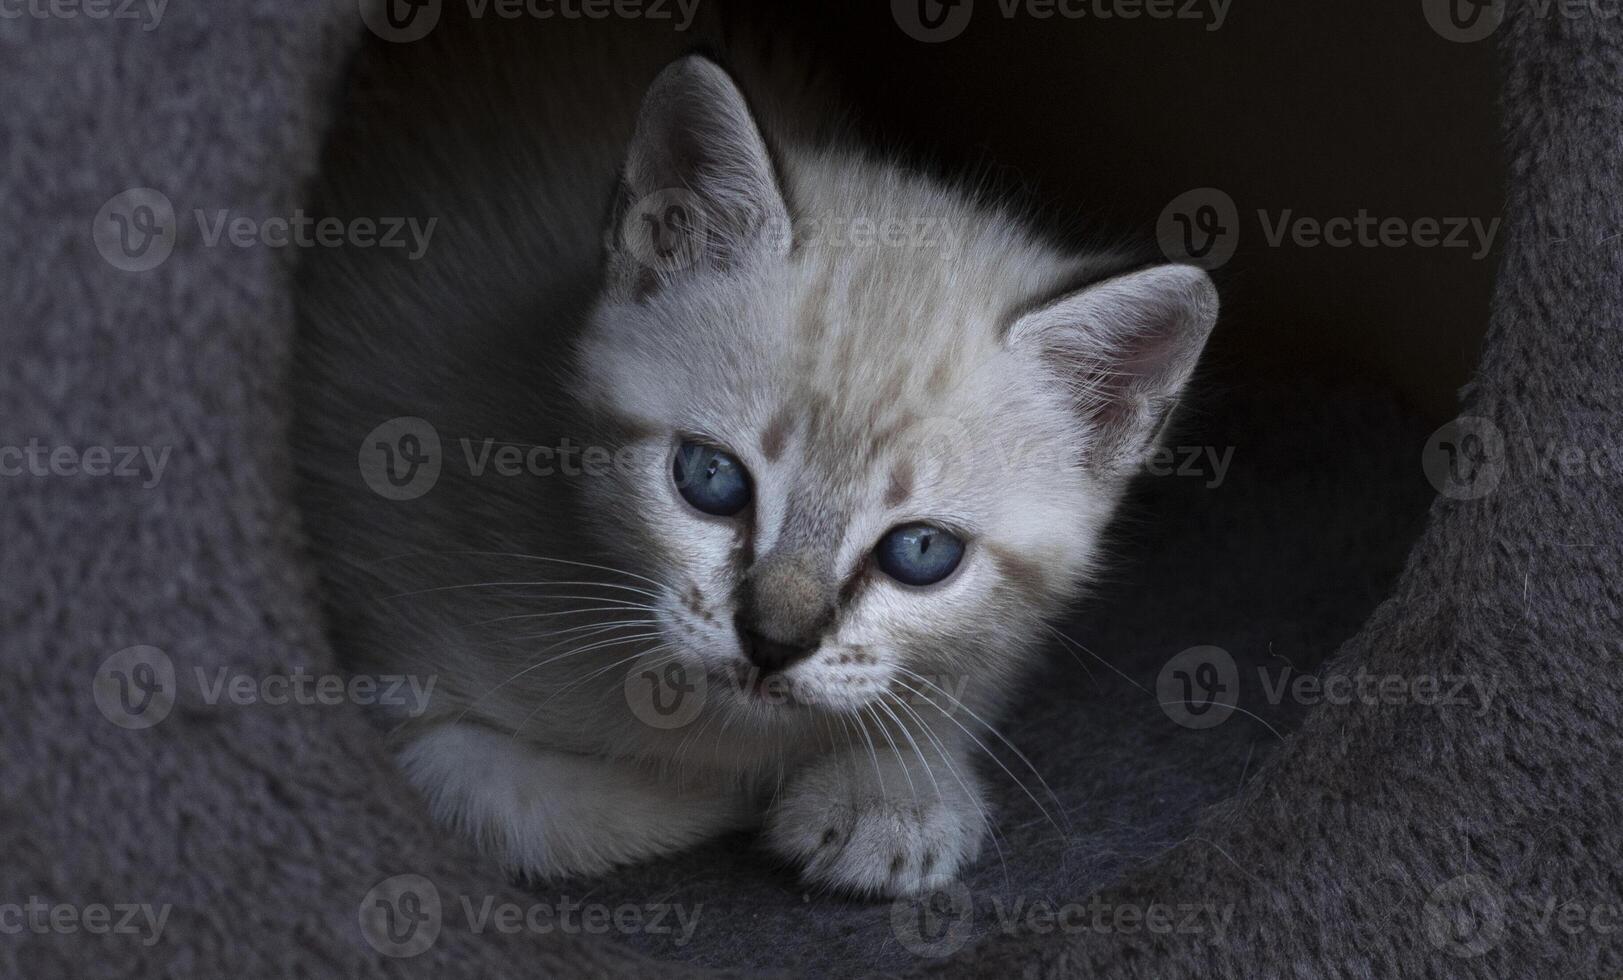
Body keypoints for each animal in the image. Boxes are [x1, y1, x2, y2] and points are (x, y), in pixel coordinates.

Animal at [292, 22, 1214, 902]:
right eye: (711, 480)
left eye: (920, 552)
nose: (772, 645)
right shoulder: (403, 707)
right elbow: (551, 815)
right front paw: (766, 789)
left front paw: (895, 787)